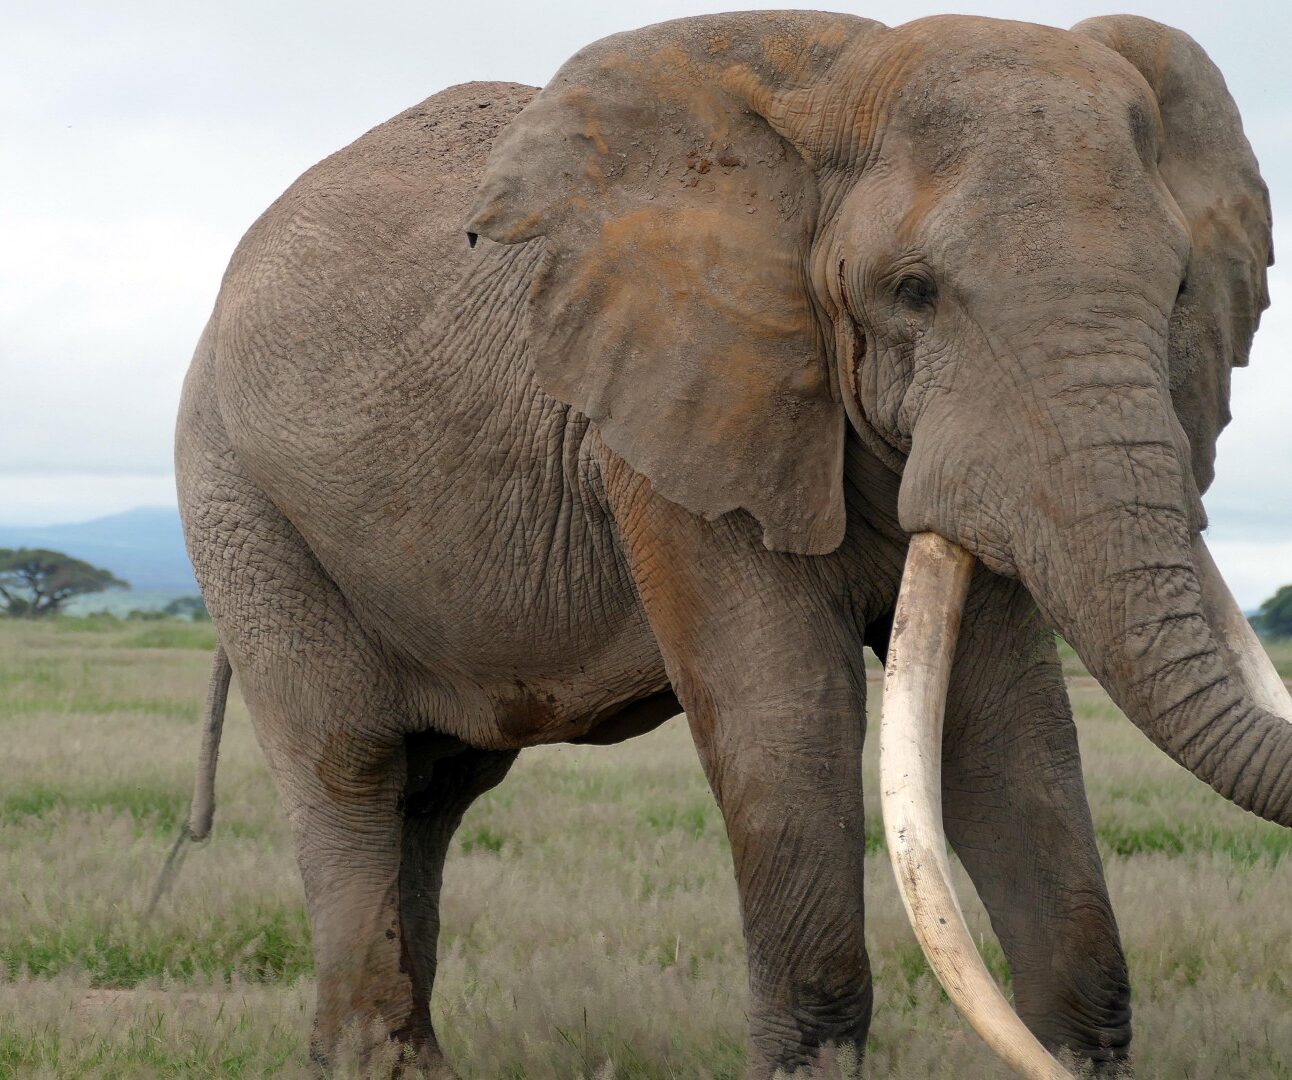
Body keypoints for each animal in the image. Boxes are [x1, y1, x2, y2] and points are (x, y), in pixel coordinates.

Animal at [174, 9, 1285, 1078]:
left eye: (1179, 289)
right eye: (913, 289)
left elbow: (1004, 724)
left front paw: (1075, 1049)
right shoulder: (670, 415)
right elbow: (787, 711)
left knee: (437, 790)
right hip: (240, 499)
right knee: (352, 768)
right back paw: (373, 1061)